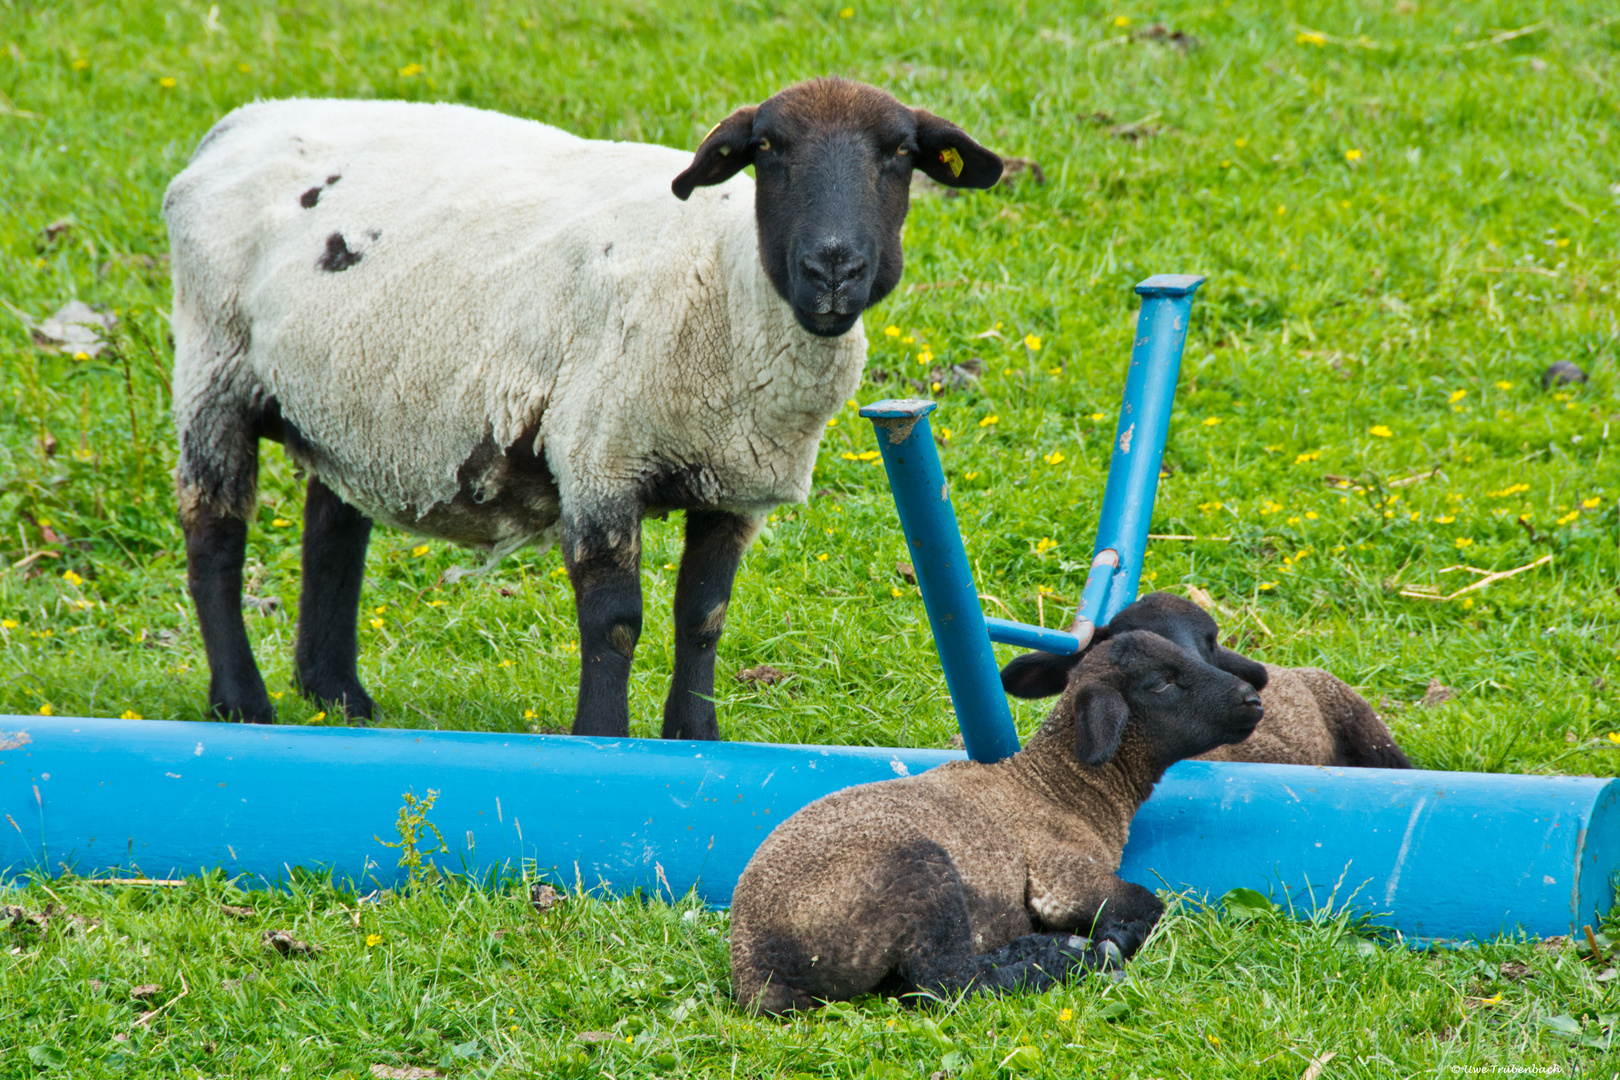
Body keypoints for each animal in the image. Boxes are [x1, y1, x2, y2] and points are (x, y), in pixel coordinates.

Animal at [164, 76, 997, 735]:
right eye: (768, 148)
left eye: (900, 153)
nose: (833, 267)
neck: (723, 276)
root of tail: (236, 126)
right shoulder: (602, 457)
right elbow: (616, 621)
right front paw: (603, 737)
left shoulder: (732, 484)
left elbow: (704, 618)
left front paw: (696, 738)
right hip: (214, 366)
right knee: (213, 534)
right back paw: (241, 702)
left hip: (352, 394)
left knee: (333, 525)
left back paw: (337, 695)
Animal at [729, 625, 1270, 1016]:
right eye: (1161, 682)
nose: (1253, 699)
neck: (1061, 789)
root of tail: (754, 961)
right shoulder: (1060, 875)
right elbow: (1150, 902)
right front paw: (1112, 940)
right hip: (918, 875)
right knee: (946, 982)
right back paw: (1066, 959)